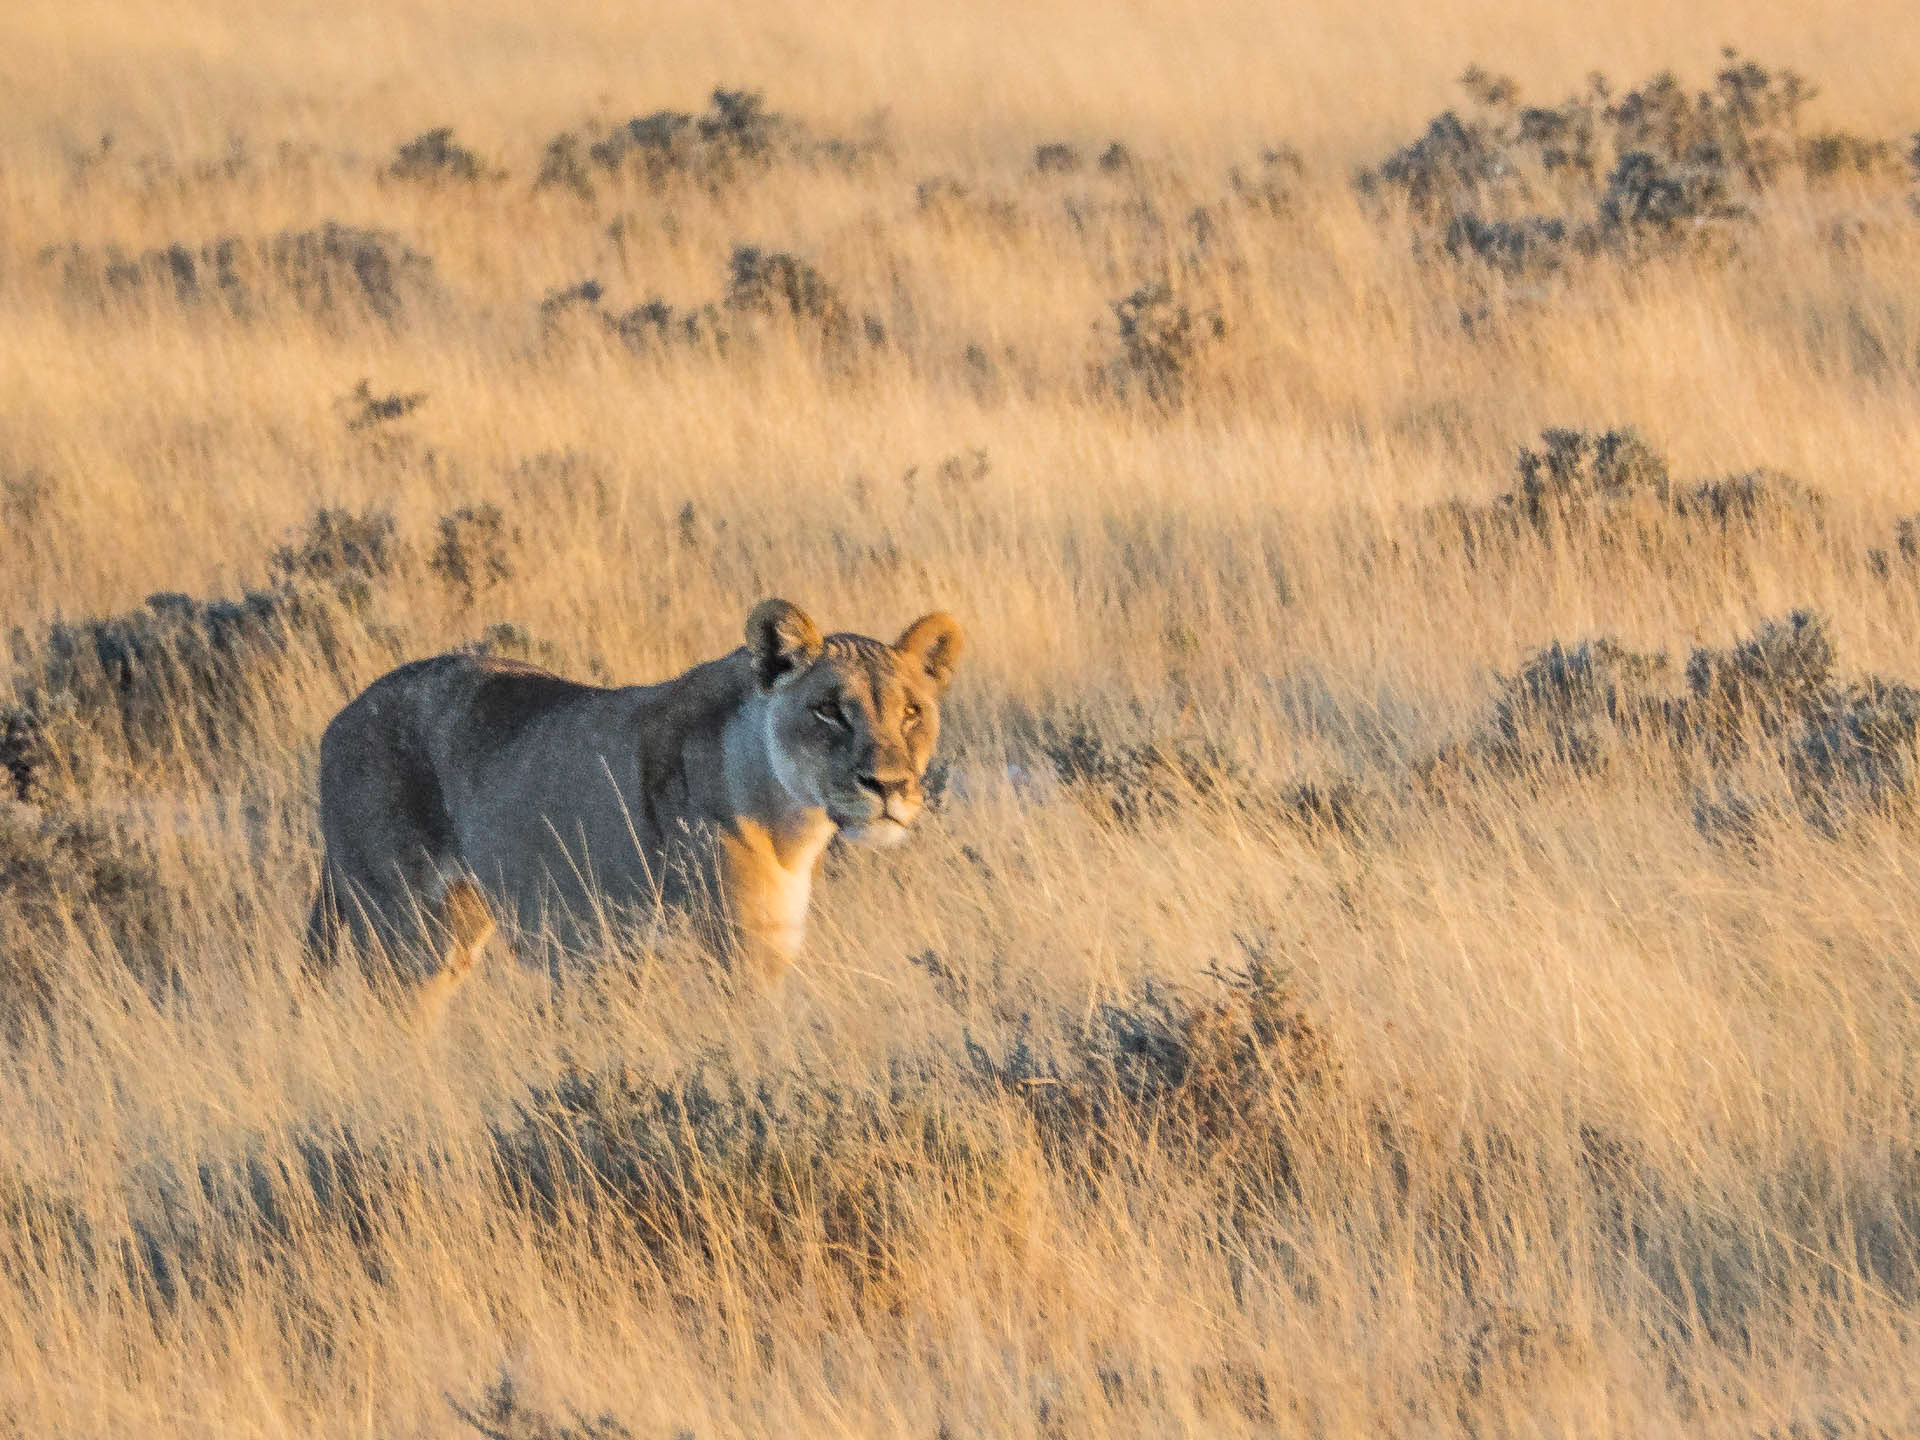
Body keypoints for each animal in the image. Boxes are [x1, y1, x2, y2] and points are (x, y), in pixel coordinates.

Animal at [305, 599, 964, 1020]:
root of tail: (339, 717)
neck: (791, 822)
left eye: (911, 712)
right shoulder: (738, 951)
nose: (888, 786)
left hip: (460, 920)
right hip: (399, 930)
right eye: (828, 710)